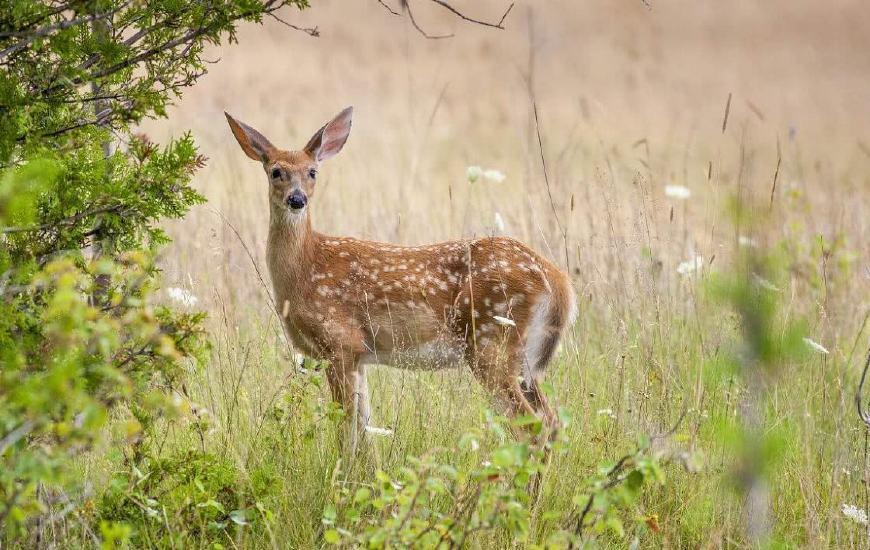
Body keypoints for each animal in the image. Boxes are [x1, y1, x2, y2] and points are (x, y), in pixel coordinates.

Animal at [225, 108, 580, 452]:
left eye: (313, 172)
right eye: (276, 172)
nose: (297, 199)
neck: (305, 268)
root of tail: (558, 280)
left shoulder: (340, 342)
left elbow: (346, 432)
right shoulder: (359, 355)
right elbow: (363, 430)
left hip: (492, 341)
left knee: (534, 428)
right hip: (524, 361)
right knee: (552, 422)